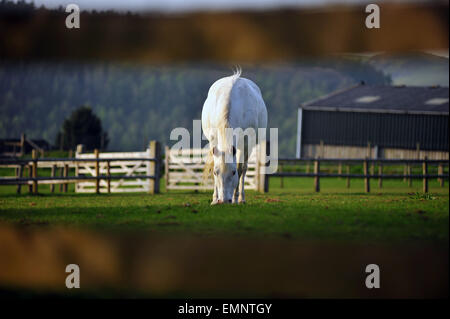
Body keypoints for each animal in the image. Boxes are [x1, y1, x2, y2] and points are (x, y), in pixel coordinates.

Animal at [201, 69, 268, 205]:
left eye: (233, 173)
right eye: (216, 172)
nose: (224, 200)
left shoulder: (247, 142)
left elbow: (240, 168)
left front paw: (236, 198)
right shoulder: (213, 139)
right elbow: (213, 164)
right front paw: (214, 198)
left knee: (245, 168)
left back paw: (241, 198)